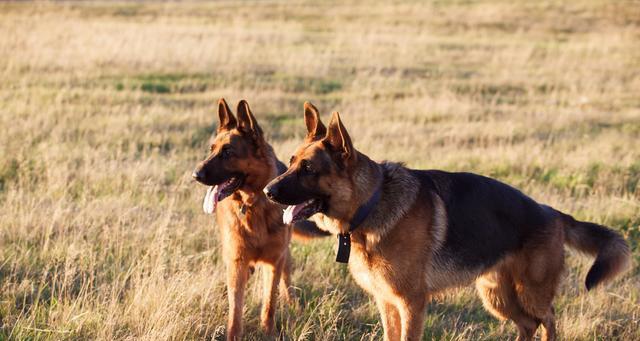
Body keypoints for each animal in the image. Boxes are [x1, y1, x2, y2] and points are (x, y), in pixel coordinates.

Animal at [191, 97, 324, 338]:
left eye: (227, 152)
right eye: (211, 149)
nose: (195, 175)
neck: (253, 204)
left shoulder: (273, 261)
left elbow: (269, 303)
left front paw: (268, 333)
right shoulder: (237, 262)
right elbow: (235, 310)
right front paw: (233, 336)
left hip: (282, 255)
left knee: (286, 276)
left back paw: (292, 303)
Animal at [262, 103, 632, 340]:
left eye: (308, 169)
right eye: (291, 162)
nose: (267, 190)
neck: (371, 203)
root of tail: (553, 213)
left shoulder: (411, 303)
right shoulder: (387, 302)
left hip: (531, 293)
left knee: (549, 322)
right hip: (496, 295)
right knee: (528, 325)